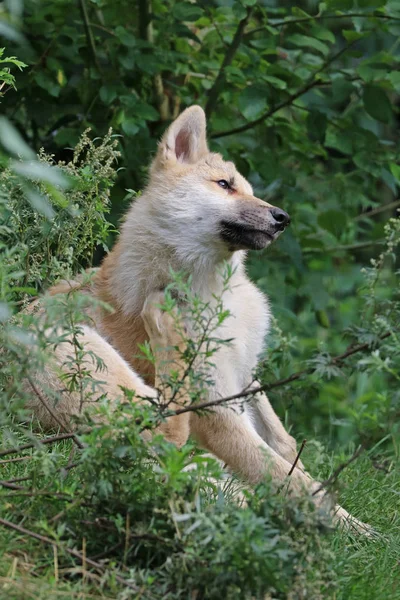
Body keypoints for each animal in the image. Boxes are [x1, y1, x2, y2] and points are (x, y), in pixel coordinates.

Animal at [28, 105, 368, 532]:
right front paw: (360, 534)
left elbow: (287, 449)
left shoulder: (245, 377)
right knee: (166, 429)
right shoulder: (215, 407)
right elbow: (288, 479)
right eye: (224, 185)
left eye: (248, 189)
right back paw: (163, 324)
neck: (213, 290)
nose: (283, 218)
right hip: (90, 354)